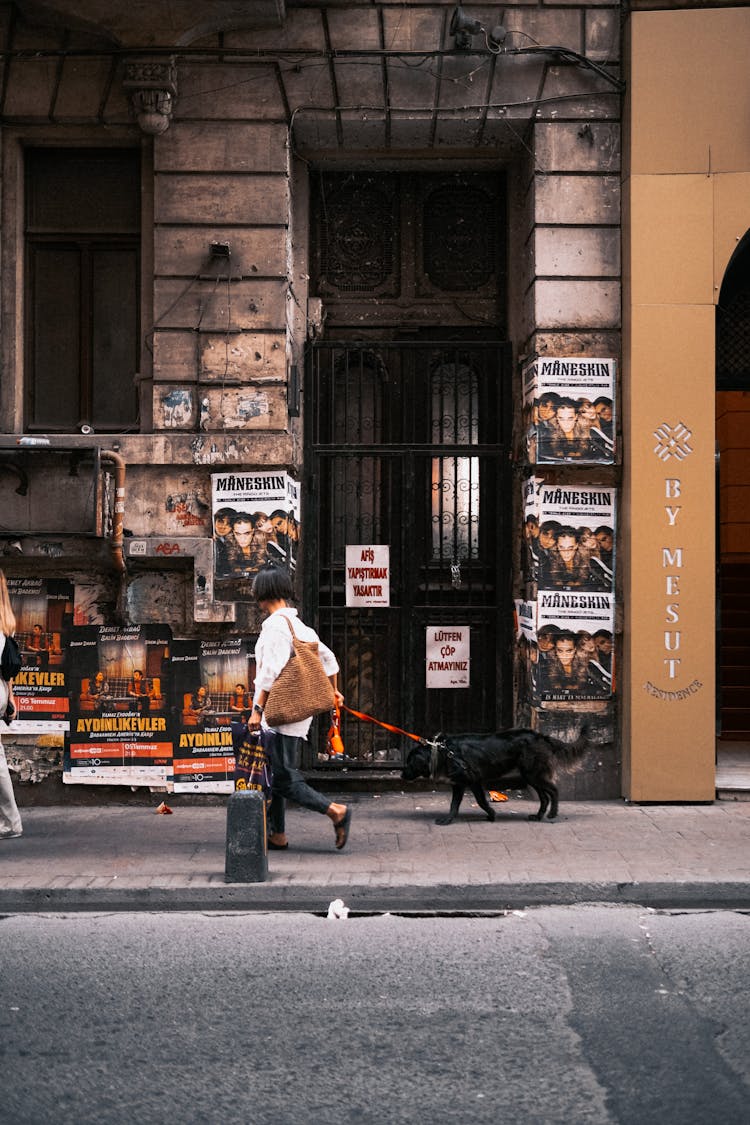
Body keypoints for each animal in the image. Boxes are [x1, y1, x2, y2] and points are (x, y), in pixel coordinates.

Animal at [402, 724, 589, 823]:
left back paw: (552, 813)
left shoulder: (469, 780)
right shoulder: (465, 783)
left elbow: (475, 801)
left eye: (409, 763)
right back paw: (537, 816)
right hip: (530, 775)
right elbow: (459, 803)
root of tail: (541, 736)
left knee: (554, 791)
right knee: (544, 797)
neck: (443, 750)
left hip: (533, 774)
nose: (401, 776)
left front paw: (490, 815)